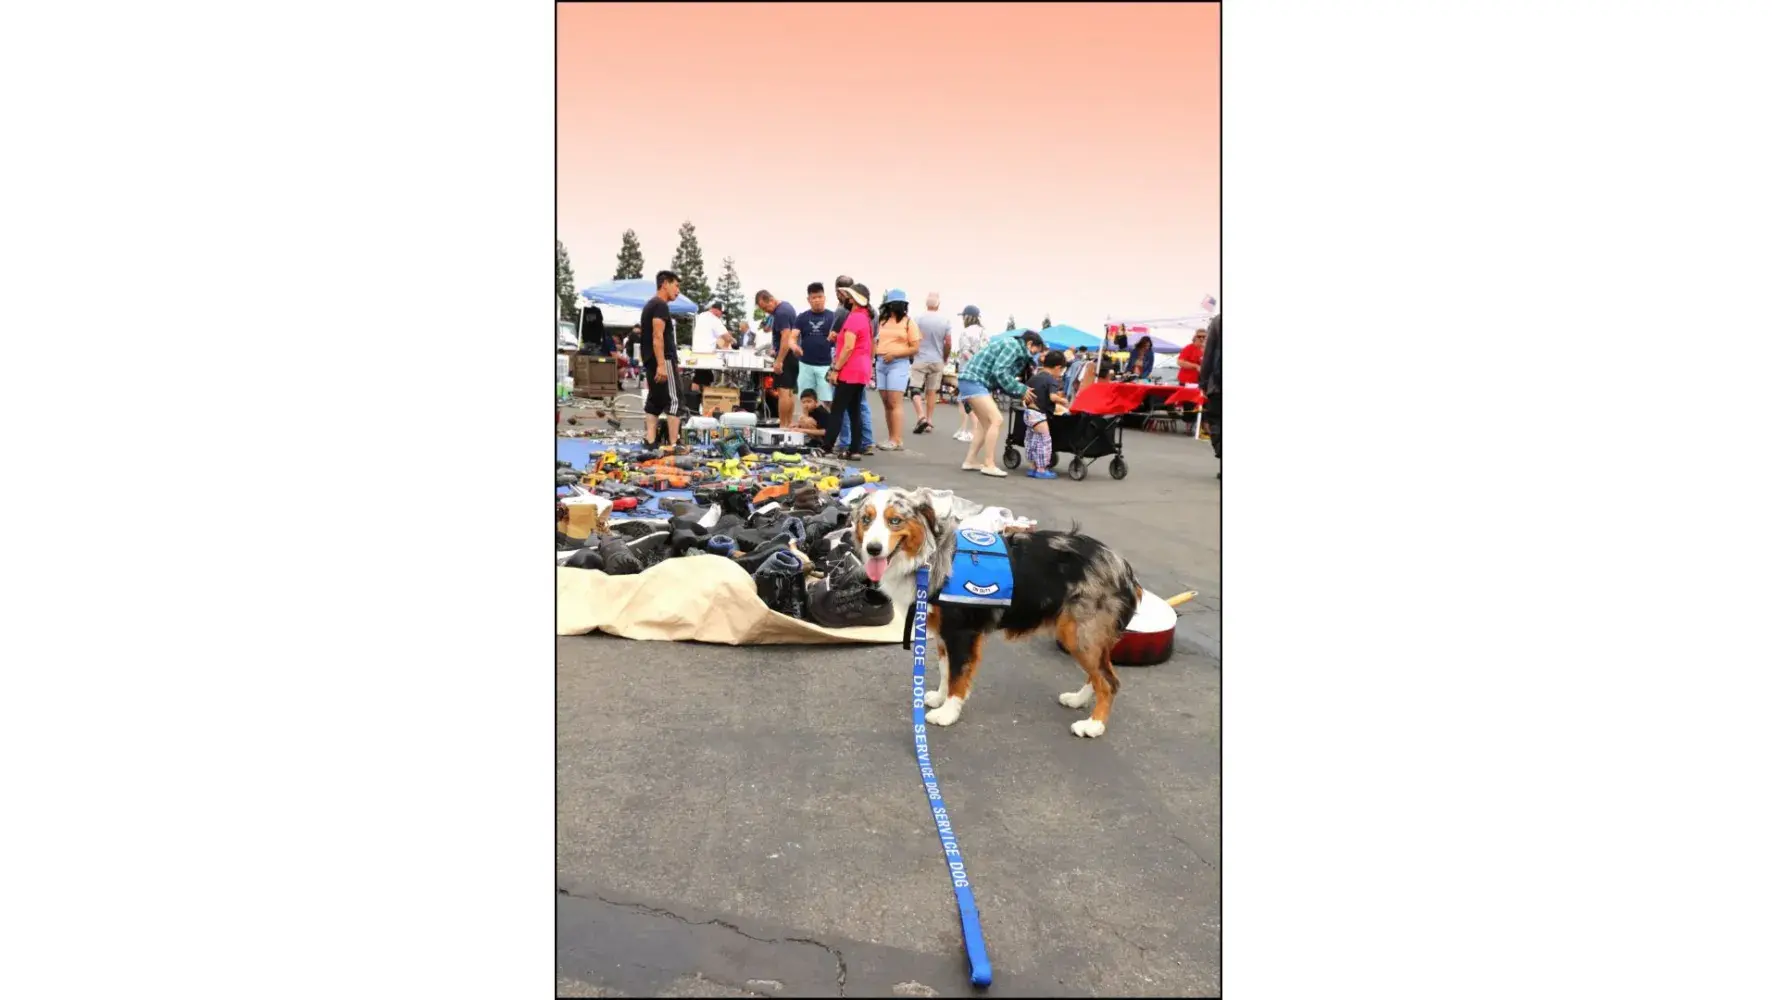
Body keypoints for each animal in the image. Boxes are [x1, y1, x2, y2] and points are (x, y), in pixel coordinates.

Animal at [852, 487, 1144, 738]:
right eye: (866, 520)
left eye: (895, 520)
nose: (873, 549)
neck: (930, 556)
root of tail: (1124, 569)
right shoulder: (944, 633)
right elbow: (947, 671)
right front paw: (939, 697)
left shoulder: (961, 634)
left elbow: (958, 676)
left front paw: (947, 712)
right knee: (1098, 674)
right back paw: (1078, 700)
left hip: (1080, 633)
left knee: (1108, 682)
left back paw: (1093, 725)